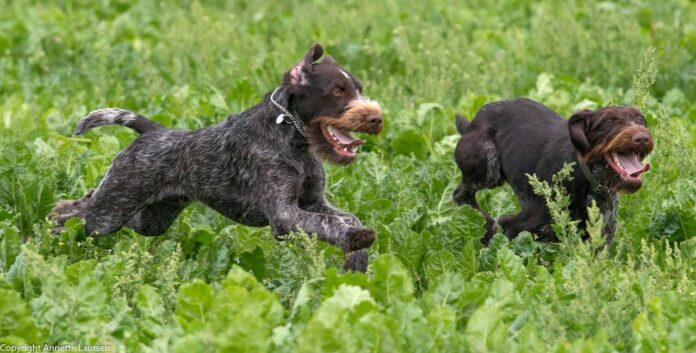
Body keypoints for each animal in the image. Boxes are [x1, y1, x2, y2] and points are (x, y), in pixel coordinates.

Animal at [49, 42, 384, 270]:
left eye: (358, 89)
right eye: (337, 91)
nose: (376, 118)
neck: (294, 138)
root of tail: (153, 131)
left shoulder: (313, 201)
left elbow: (346, 217)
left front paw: (356, 260)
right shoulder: (284, 215)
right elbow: (329, 224)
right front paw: (355, 239)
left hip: (148, 216)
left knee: (86, 201)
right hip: (110, 214)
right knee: (70, 213)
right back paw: (52, 235)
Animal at [454, 97, 656, 243]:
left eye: (640, 120)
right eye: (610, 121)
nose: (642, 138)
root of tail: (473, 122)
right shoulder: (515, 225)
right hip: (488, 168)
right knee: (462, 195)